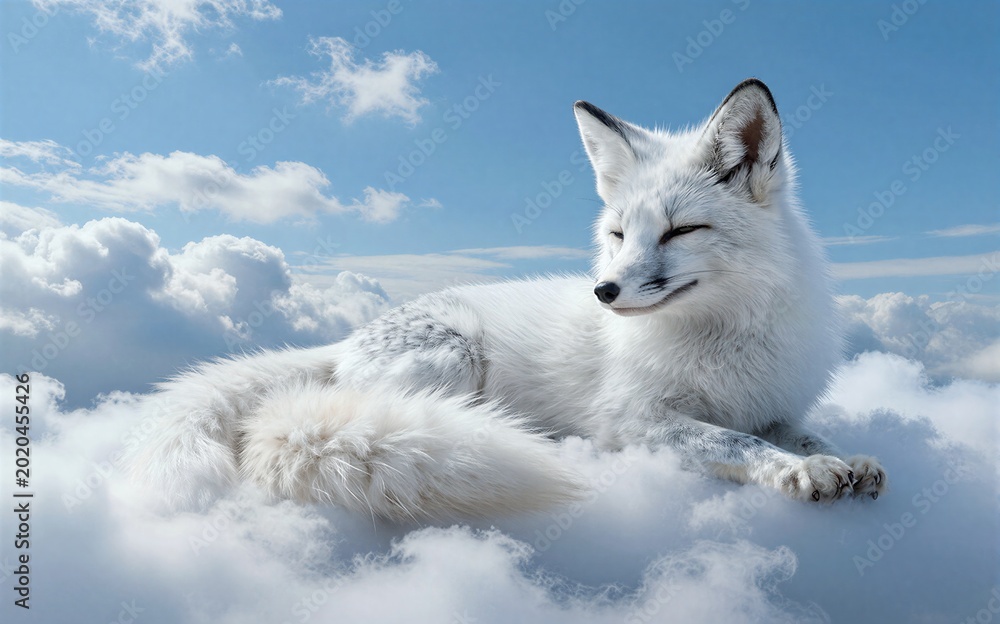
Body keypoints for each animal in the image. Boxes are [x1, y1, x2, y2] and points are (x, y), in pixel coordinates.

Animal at [129, 78, 886, 520]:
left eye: (679, 231)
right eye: (618, 234)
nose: (604, 290)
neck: (726, 337)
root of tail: (344, 345)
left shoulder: (775, 404)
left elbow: (801, 433)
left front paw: (848, 459)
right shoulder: (636, 420)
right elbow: (736, 442)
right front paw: (803, 471)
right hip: (451, 360)